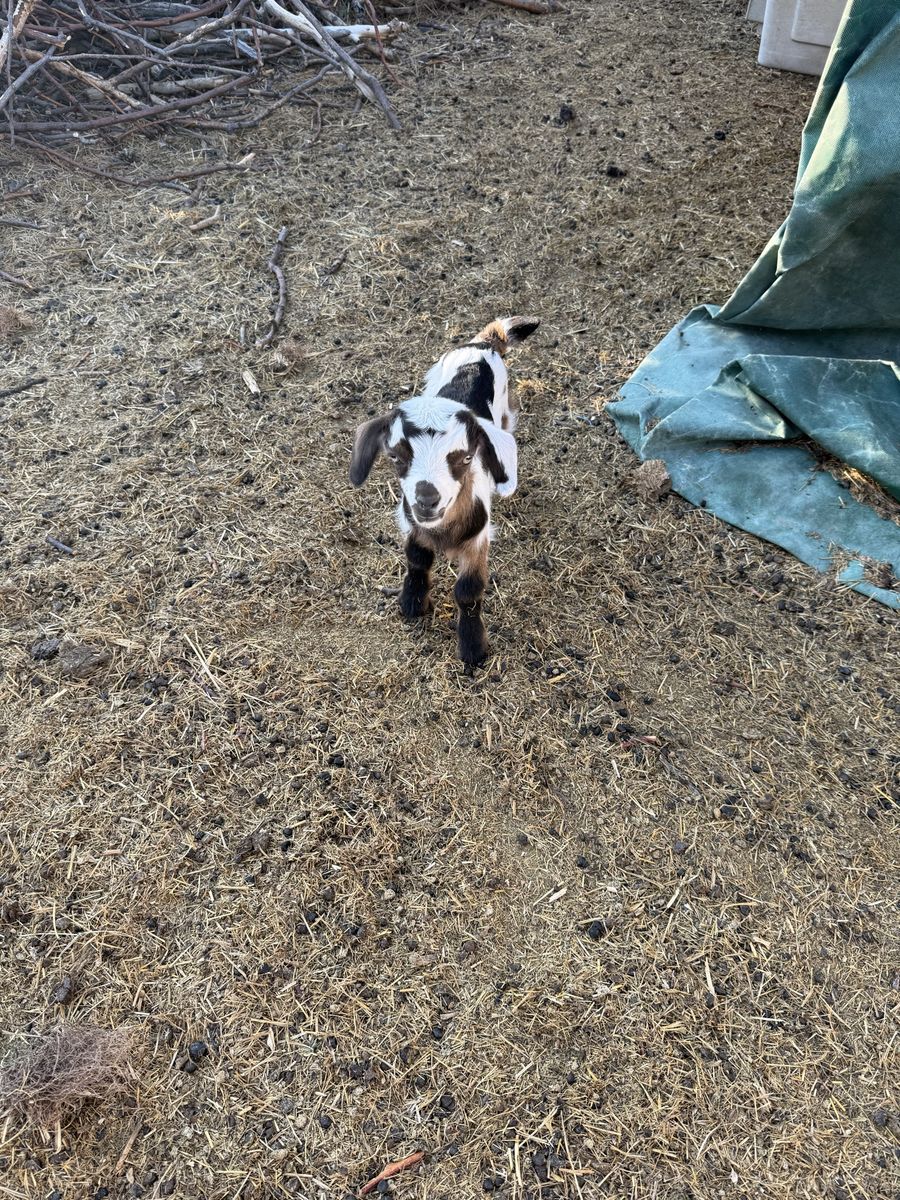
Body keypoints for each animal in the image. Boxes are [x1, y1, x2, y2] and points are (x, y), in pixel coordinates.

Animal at [349, 315, 540, 667]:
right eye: (395, 456)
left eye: (466, 457)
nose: (427, 499)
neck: (443, 532)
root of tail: (484, 344)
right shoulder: (413, 527)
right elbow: (417, 558)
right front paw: (412, 603)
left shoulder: (478, 542)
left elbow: (468, 590)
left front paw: (473, 648)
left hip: (506, 410)